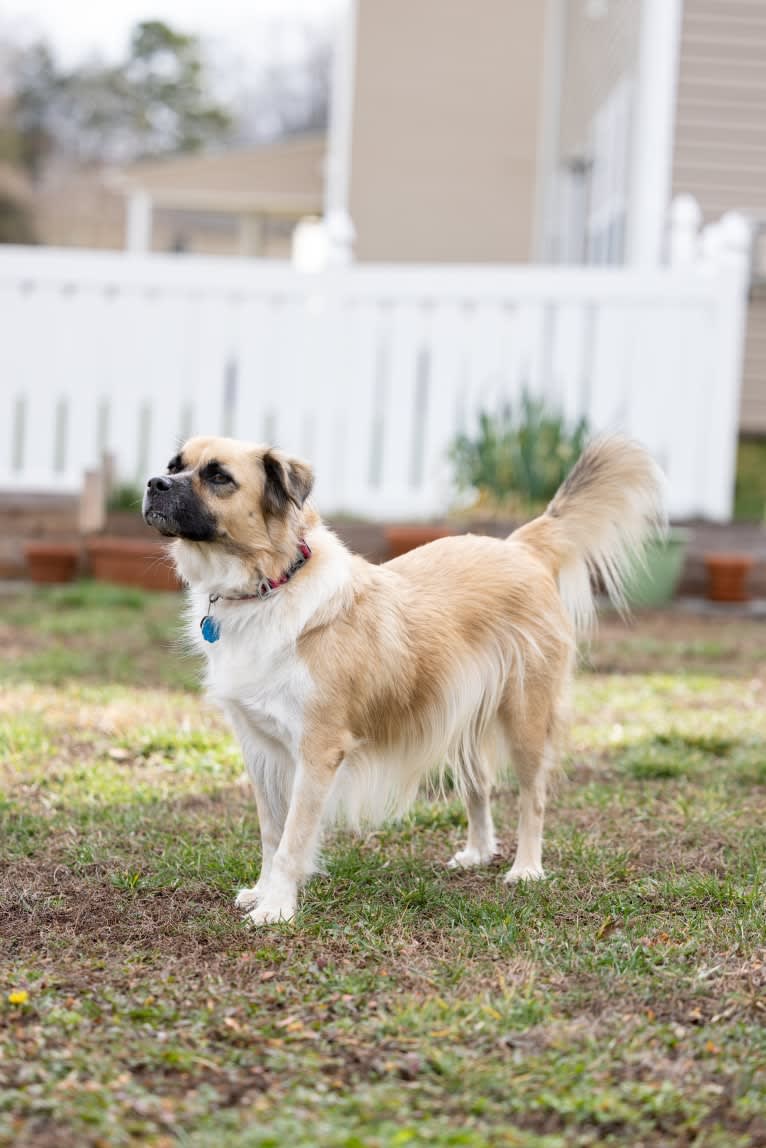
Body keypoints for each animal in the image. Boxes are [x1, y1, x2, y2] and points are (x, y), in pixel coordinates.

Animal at [143, 431, 666, 922]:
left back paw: (527, 868)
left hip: (525, 719)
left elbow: (293, 838)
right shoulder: (259, 747)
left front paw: (278, 907)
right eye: (173, 465)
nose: (152, 484)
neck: (273, 583)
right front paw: (262, 890)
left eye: (218, 477)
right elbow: (272, 834)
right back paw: (478, 852)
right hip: (459, 717)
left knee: (532, 797)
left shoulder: (318, 750)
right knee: (478, 786)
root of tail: (519, 547)